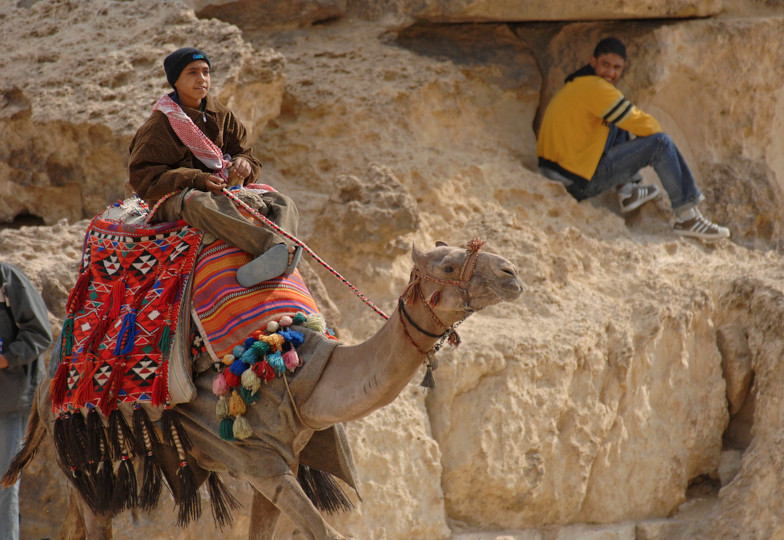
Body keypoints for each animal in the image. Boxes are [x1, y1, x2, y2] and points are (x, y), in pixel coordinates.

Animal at [6, 238, 524, 536]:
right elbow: (326, 533)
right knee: (97, 520)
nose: (512, 273)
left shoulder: (279, 463)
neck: (307, 380)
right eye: (451, 265)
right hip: (79, 445)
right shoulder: (258, 462)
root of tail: (48, 380)